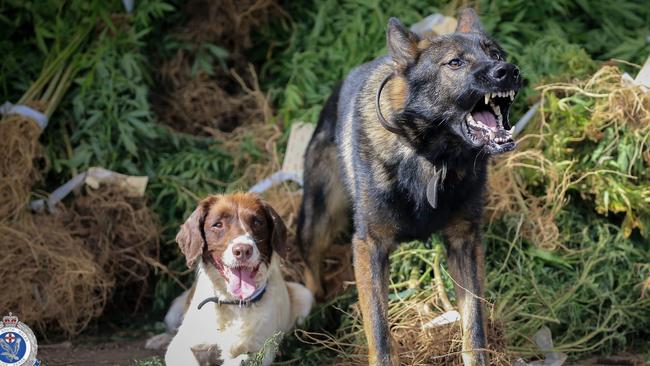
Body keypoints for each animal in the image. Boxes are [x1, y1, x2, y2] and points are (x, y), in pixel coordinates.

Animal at [163, 193, 312, 364]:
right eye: (218, 224)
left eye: (257, 222)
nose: (243, 250)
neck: (233, 302)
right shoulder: (178, 347)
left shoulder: (263, 350)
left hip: (305, 295)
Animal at [296, 8, 520, 366]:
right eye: (455, 63)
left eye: (496, 54)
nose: (509, 71)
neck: (432, 158)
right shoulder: (369, 247)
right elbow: (379, 332)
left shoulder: (464, 242)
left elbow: (474, 326)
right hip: (319, 219)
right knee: (310, 262)